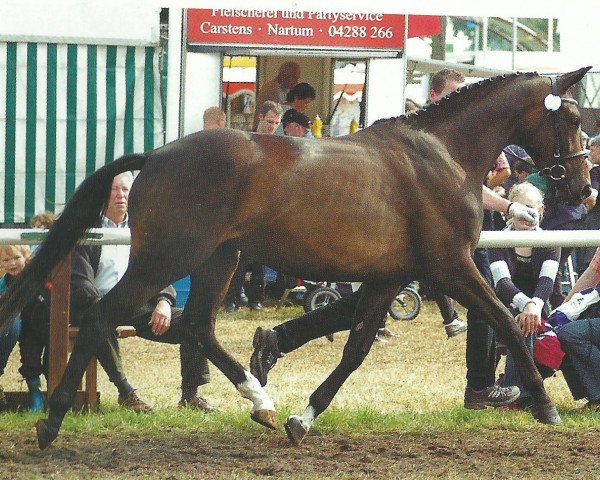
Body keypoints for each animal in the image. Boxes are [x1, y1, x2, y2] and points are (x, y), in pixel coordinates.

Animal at [0, 66, 592, 446]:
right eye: (573, 117)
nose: (583, 188)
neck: (442, 155)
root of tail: (157, 155)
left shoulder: (391, 276)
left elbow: (354, 348)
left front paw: (302, 418)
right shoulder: (451, 267)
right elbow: (506, 322)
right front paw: (546, 407)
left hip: (220, 259)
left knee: (197, 326)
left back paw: (261, 403)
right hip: (164, 259)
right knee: (104, 316)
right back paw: (51, 423)